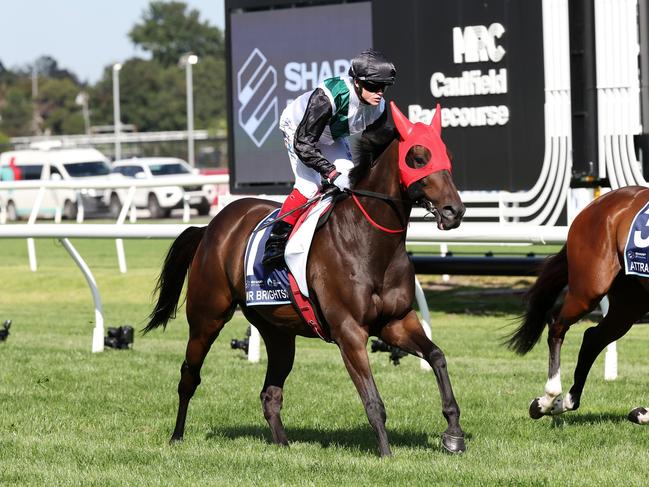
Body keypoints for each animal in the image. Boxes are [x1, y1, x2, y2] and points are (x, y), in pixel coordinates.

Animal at [143, 103, 466, 458]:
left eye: (446, 155)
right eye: (418, 157)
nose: (454, 211)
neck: (367, 242)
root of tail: (211, 227)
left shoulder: (396, 322)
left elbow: (437, 356)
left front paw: (454, 434)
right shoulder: (349, 331)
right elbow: (372, 400)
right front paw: (386, 453)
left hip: (278, 331)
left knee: (270, 394)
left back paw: (283, 446)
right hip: (207, 317)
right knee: (189, 376)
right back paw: (176, 436)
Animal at [506, 185, 648, 426]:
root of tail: (598, 203)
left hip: (630, 302)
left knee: (593, 338)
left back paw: (566, 402)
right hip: (589, 289)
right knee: (557, 325)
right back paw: (547, 400)